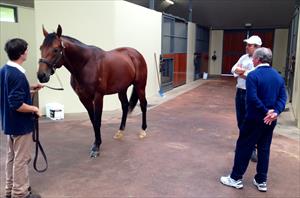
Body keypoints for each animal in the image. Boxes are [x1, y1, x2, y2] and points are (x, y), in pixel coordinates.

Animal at [37, 25, 148, 158]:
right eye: (41, 48)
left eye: (55, 49)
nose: (41, 75)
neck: (85, 64)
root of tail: (136, 54)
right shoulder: (84, 98)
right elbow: (92, 120)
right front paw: (96, 143)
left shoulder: (98, 96)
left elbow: (98, 120)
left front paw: (96, 147)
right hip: (122, 89)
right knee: (125, 106)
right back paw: (120, 132)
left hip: (140, 86)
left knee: (143, 105)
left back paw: (143, 131)